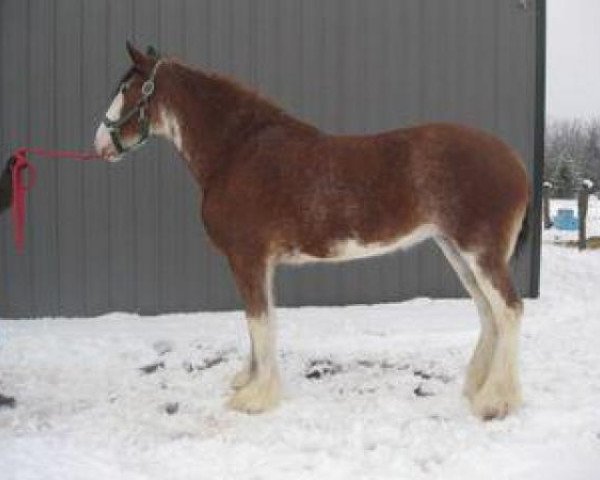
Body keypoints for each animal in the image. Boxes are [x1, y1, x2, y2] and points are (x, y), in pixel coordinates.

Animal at [95, 44, 528, 420]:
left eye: (127, 89)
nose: (99, 143)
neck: (237, 152)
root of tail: (514, 161)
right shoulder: (261, 263)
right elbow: (262, 321)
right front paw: (249, 381)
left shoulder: (247, 259)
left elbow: (258, 321)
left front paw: (255, 398)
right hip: (455, 251)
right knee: (488, 312)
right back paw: (476, 386)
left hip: (479, 253)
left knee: (508, 310)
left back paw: (495, 401)